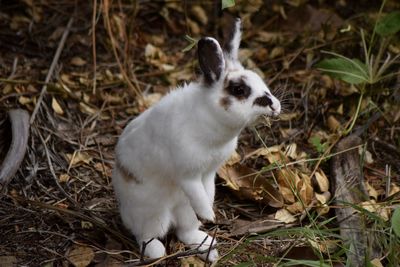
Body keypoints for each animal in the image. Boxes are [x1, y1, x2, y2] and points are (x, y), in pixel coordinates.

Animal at [112, 18, 282, 264]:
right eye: (239, 89)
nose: (275, 106)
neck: (209, 117)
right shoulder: (188, 175)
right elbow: (198, 195)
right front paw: (209, 214)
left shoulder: (208, 174)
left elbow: (206, 193)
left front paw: (210, 213)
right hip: (150, 214)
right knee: (146, 236)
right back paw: (157, 252)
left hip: (184, 211)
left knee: (185, 231)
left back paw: (207, 247)